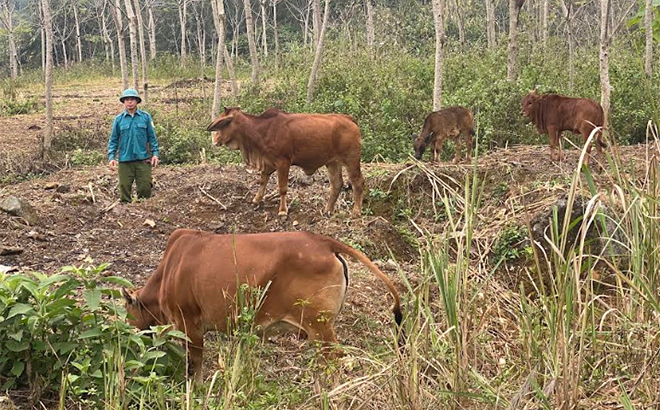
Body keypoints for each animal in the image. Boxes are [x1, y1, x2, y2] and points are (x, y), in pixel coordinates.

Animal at [122, 227, 404, 382]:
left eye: (127, 311)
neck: (168, 272)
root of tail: (324, 242)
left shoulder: (190, 324)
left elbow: (195, 366)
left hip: (320, 327)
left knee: (335, 360)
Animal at [208, 108, 366, 218]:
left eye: (225, 122)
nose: (214, 140)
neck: (262, 129)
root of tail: (349, 119)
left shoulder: (283, 162)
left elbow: (282, 188)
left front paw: (283, 211)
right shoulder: (268, 162)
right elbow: (262, 181)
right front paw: (257, 199)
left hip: (351, 160)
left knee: (357, 182)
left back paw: (356, 211)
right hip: (332, 163)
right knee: (336, 184)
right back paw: (328, 210)